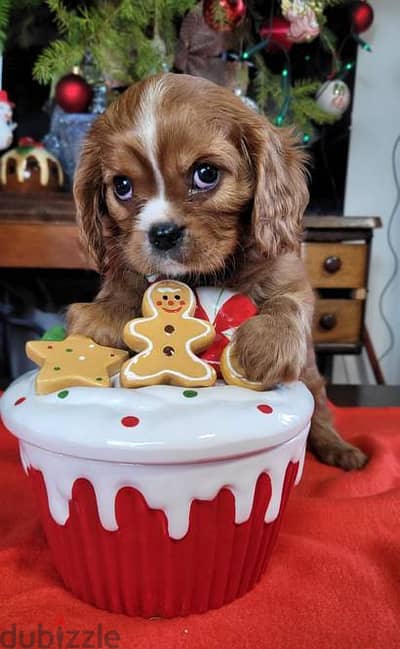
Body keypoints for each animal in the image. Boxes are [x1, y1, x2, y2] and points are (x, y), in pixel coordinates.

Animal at [67, 72, 368, 470]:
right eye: (122, 186)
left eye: (206, 174)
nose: (162, 233)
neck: (206, 275)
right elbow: (127, 285)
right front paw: (104, 314)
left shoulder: (289, 276)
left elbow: (287, 303)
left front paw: (265, 343)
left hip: (311, 376)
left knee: (320, 409)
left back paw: (340, 448)